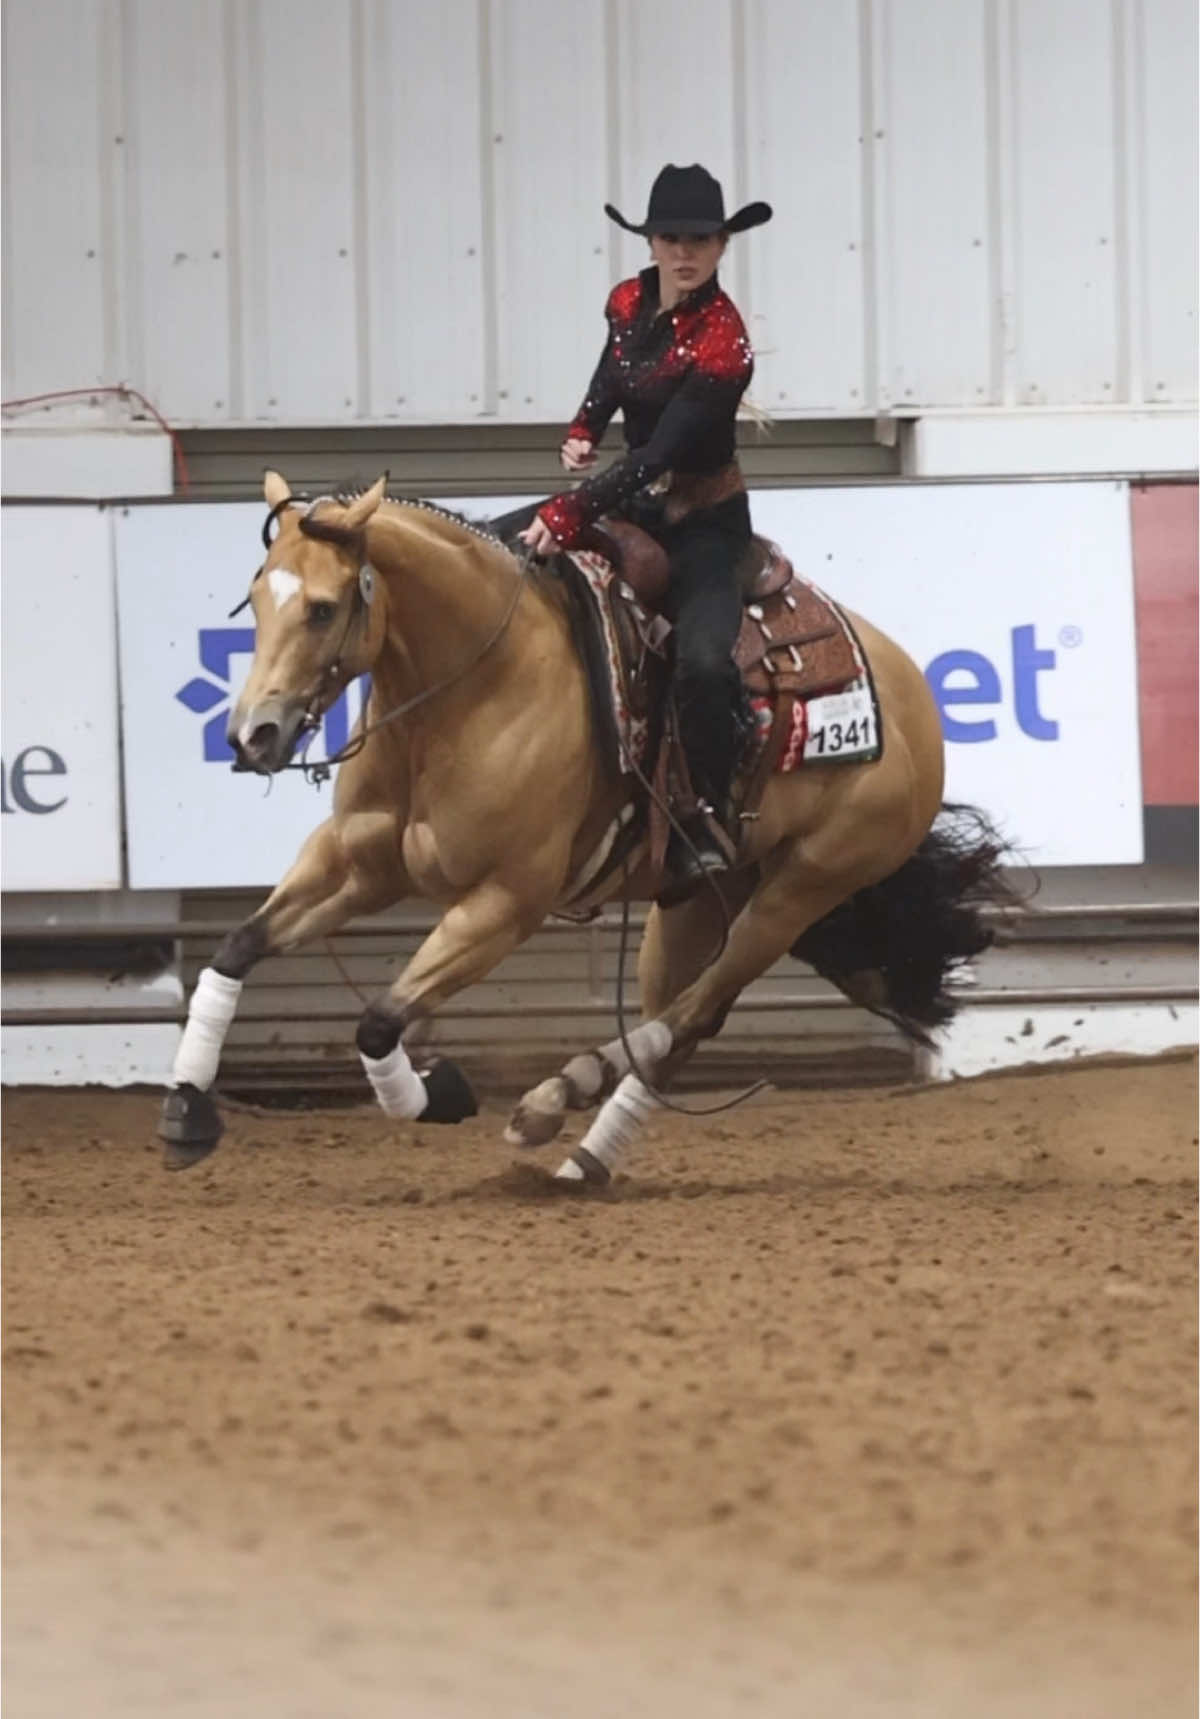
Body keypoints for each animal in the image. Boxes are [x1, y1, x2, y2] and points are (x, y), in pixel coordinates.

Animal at [153, 477, 1004, 1189]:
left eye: (325, 607)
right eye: (256, 600)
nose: (252, 735)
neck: (470, 689)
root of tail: (909, 693)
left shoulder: (505, 902)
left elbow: (379, 1019)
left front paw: (438, 1091)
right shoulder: (357, 865)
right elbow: (237, 947)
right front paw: (187, 1111)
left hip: (802, 888)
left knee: (695, 1010)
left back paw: (552, 1099)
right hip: (698, 898)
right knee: (681, 1025)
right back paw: (584, 1157)